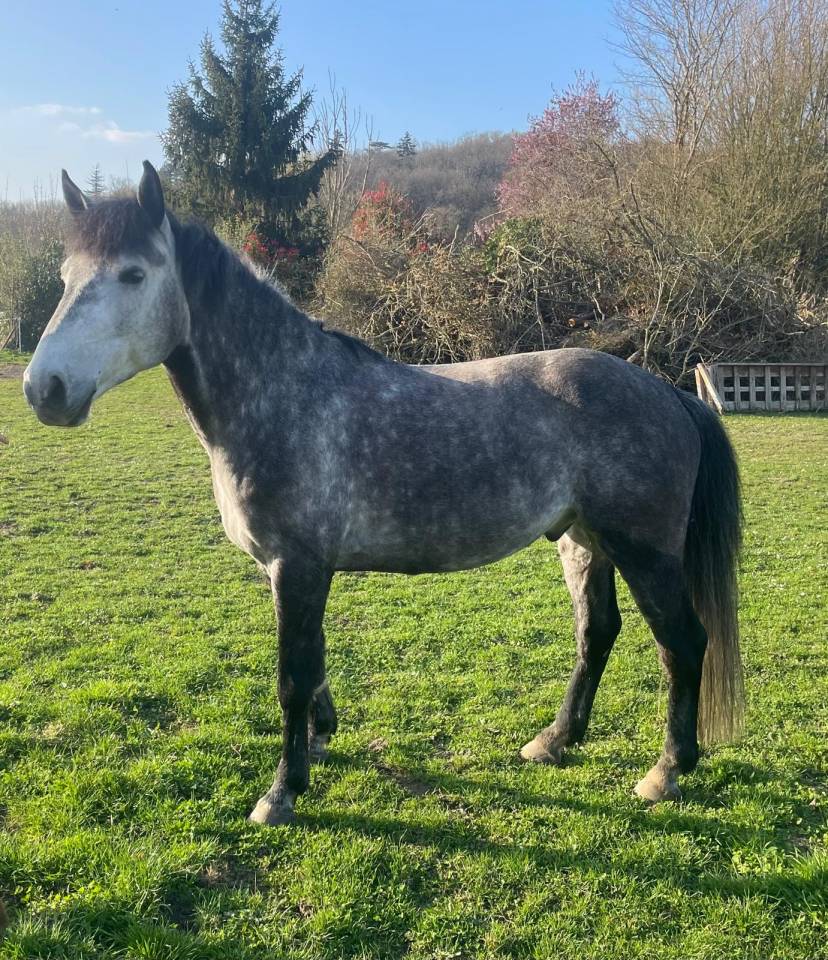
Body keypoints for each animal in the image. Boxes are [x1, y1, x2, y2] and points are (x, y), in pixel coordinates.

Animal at [23, 162, 744, 826]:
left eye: (133, 275)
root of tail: (666, 393)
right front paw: (319, 741)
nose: (43, 389)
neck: (285, 394)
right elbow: (312, 665)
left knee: (683, 644)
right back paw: (554, 741)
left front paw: (282, 792)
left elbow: (291, 677)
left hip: (644, 551)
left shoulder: (298, 566)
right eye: (63, 276)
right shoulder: (291, 570)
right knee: (597, 634)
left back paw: (666, 771)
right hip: (582, 539)